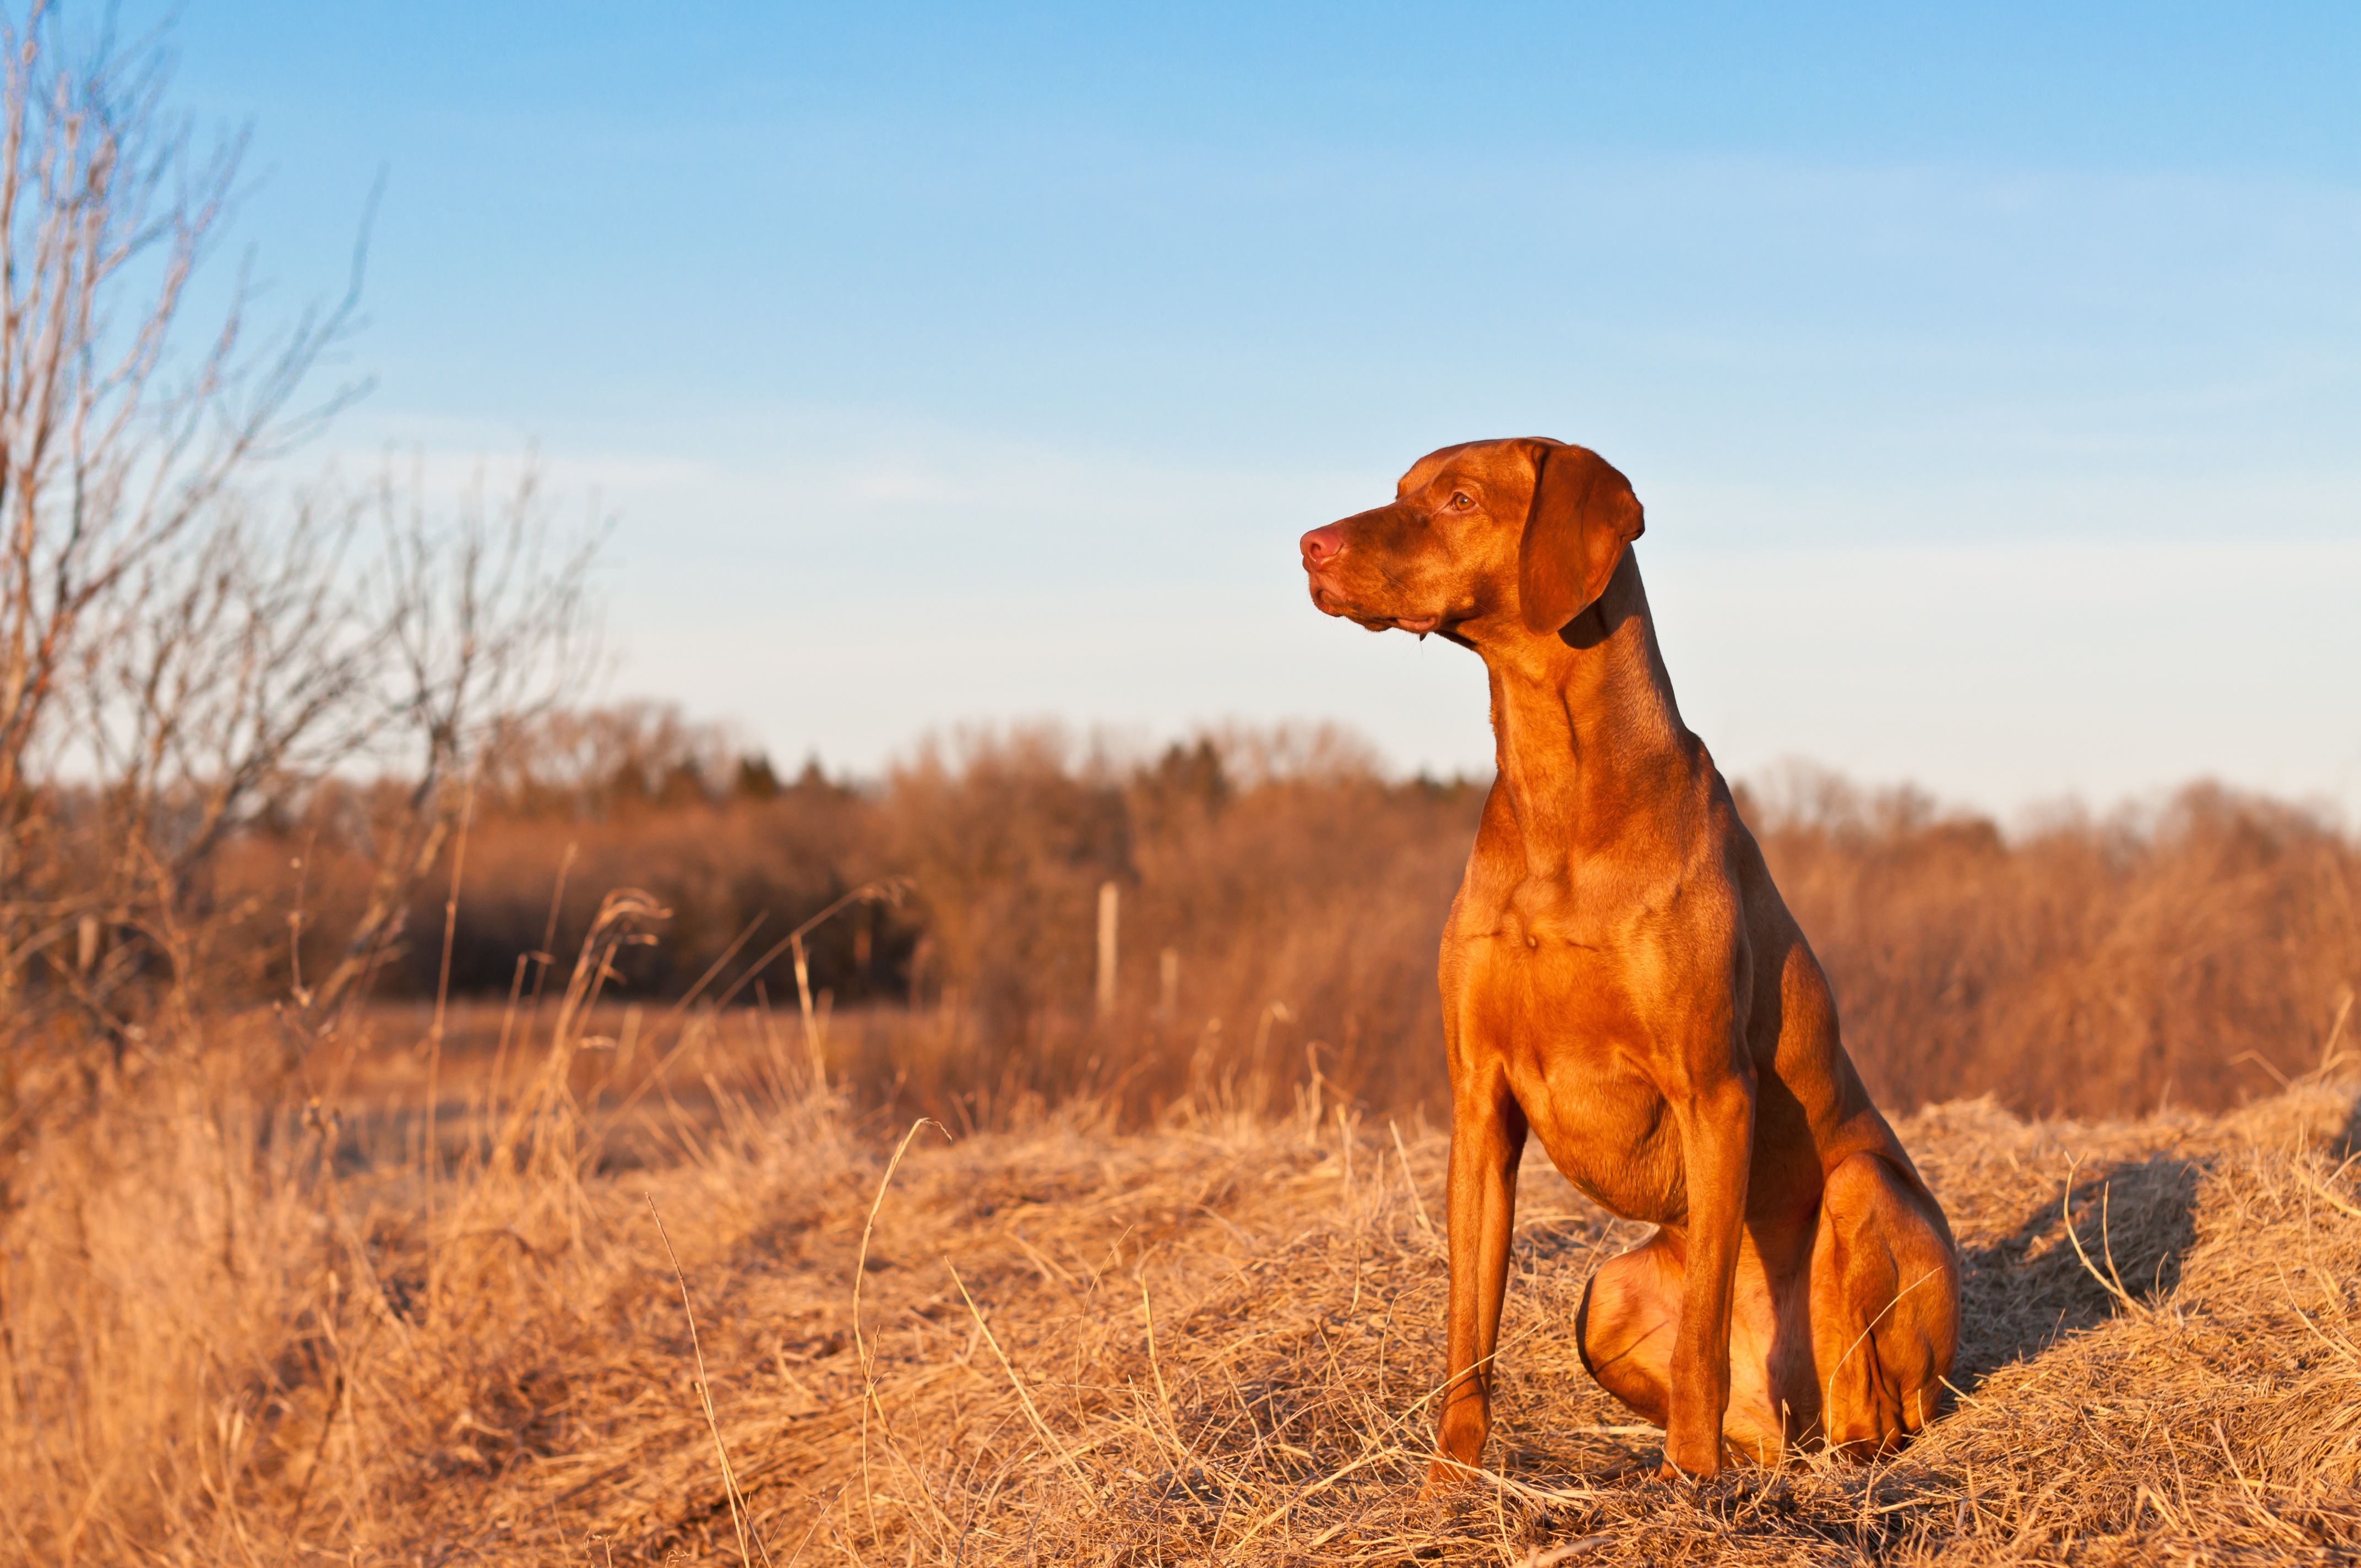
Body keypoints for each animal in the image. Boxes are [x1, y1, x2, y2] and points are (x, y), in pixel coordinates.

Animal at [1303, 437, 1964, 1483]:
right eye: (1402, 489)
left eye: (1460, 499)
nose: (1309, 546)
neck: (1558, 790)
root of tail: (1792, 1421)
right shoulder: (1478, 1098)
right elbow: (1466, 1328)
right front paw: (1450, 1480)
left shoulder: (1713, 1090)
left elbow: (1698, 1335)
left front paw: (1687, 1479)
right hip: (1607, 1293)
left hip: (1862, 1201)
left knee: (1866, 1405)